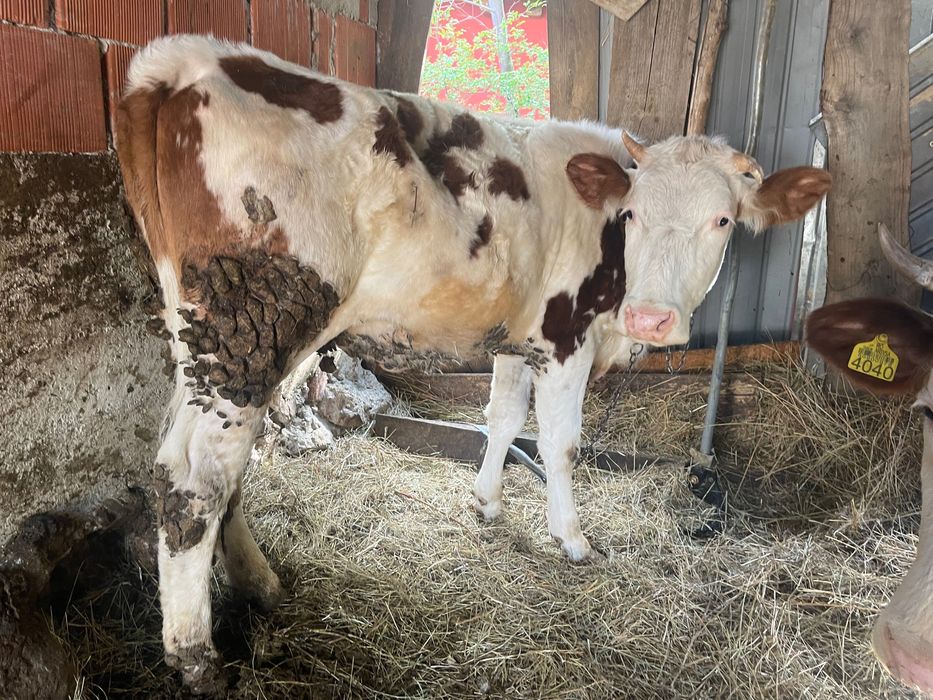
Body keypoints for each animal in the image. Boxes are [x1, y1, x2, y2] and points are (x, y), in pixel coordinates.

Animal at [116, 35, 830, 691]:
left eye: (722, 220)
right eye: (631, 214)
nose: (651, 317)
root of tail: (189, 58)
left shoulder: (516, 338)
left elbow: (503, 417)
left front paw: (486, 502)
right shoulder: (565, 337)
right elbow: (560, 443)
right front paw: (571, 538)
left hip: (209, 339)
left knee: (201, 468)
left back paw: (260, 584)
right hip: (255, 331)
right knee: (197, 479)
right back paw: (196, 655)